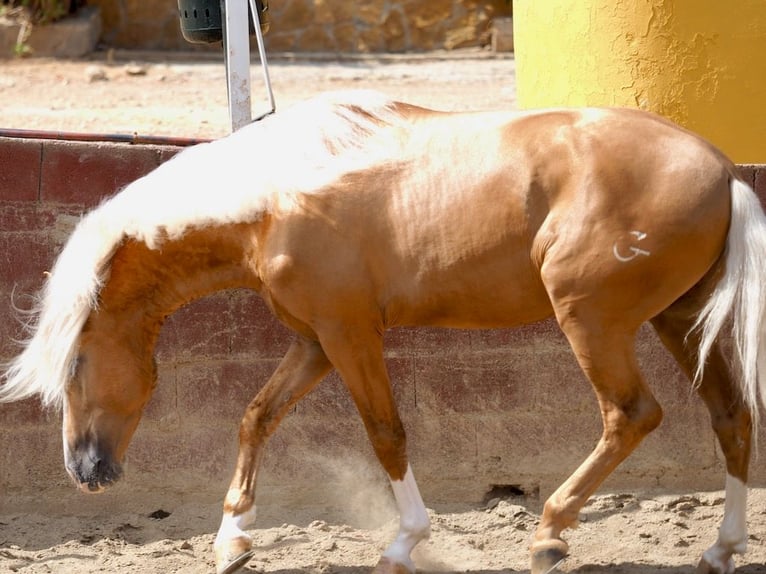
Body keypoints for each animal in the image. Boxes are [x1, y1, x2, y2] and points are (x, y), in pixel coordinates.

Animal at [1, 91, 766, 574]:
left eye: (75, 364)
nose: (85, 472)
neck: (274, 199)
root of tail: (723, 170)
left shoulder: (350, 335)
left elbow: (385, 433)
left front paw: (404, 544)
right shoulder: (313, 341)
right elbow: (256, 418)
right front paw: (232, 542)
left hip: (593, 321)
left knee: (631, 414)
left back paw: (549, 535)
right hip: (678, 320)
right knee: (731, 417)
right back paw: (720, 549)